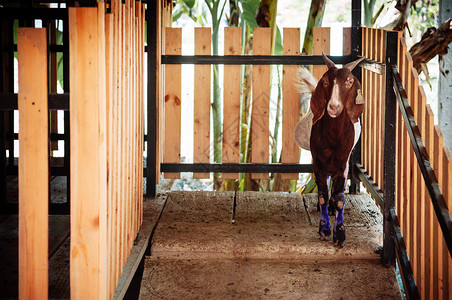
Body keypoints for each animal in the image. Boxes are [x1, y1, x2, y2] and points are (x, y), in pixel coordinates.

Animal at [294, 52, 366, 247]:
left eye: (349, 81)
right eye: (325, 81)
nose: (333, 106)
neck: (333, 137)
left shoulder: (343, 164)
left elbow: (340, 198)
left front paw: (339, 234)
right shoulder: (318, 162)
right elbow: (322, 195)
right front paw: (324, 229)